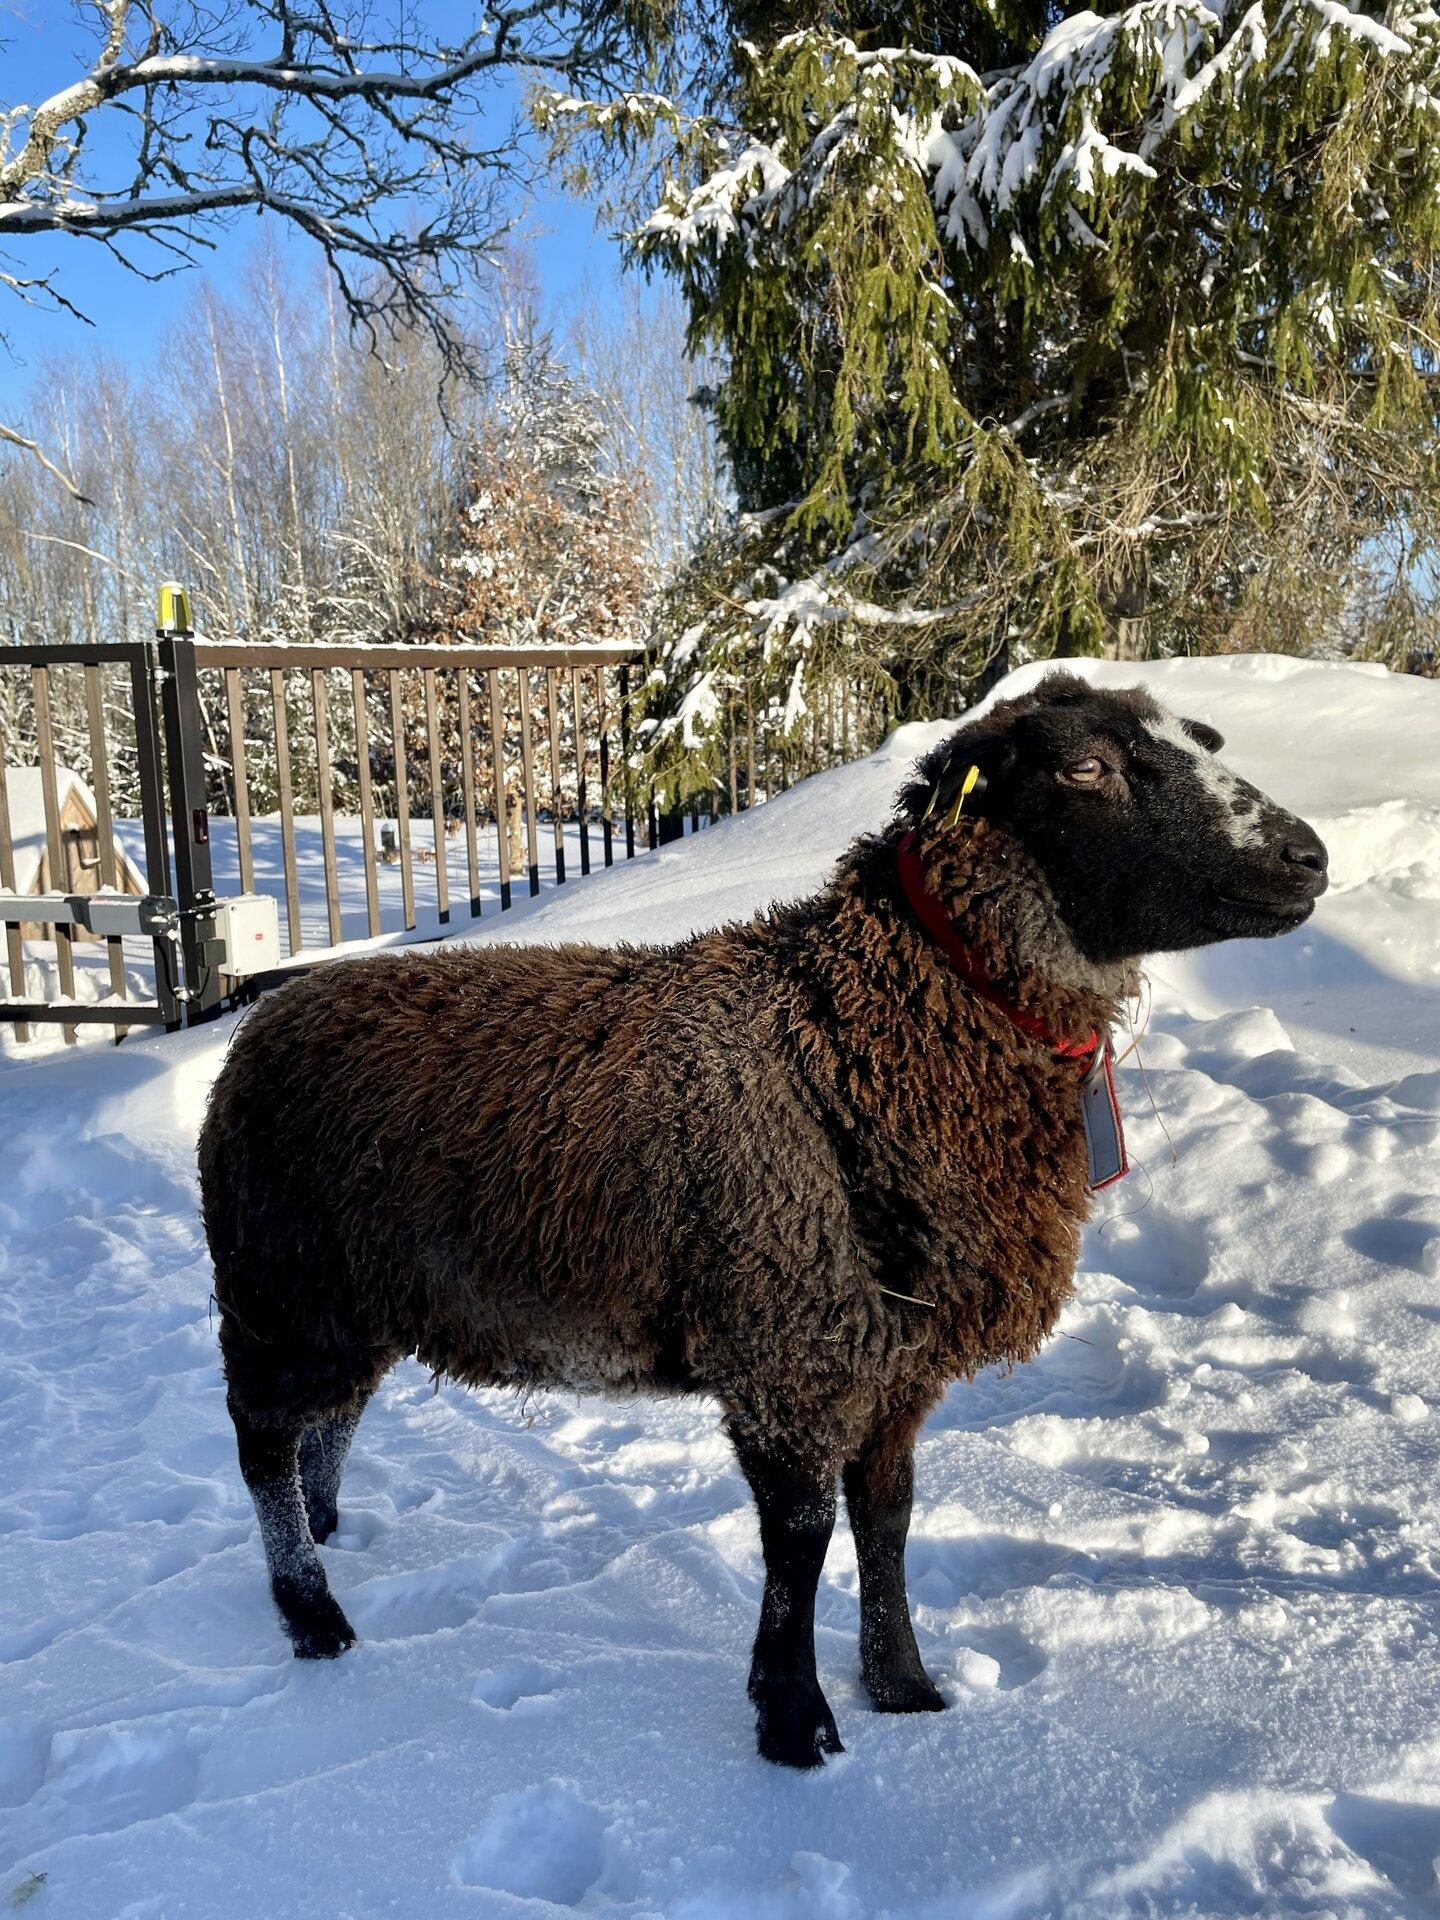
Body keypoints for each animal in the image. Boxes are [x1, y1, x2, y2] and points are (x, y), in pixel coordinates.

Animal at [200, 672, 1328, 1766]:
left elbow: (888, 1520)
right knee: (261, 1443)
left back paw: (329, 1530)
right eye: (1087, 767)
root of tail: (267, 1010)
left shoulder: (896, 1363)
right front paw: (793, 1723)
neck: (852, 1035)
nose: (1308, 857)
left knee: (332, 1421)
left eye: (1206, 741)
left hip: (360, 1300)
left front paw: (905, 1689)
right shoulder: (789, 1344)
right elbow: (802, 1538)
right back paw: (311, 1611)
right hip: (275, 1286)